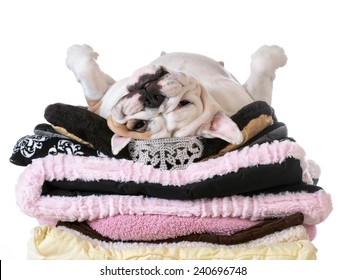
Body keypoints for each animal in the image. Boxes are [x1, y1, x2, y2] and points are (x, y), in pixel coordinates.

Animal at [64, 44, 284, 154]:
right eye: (139, 125)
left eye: (184, 104)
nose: (154, 99)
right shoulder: (103, 95)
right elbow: (86, 67)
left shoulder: (254, 96)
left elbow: (262, 68)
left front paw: (275, 53)